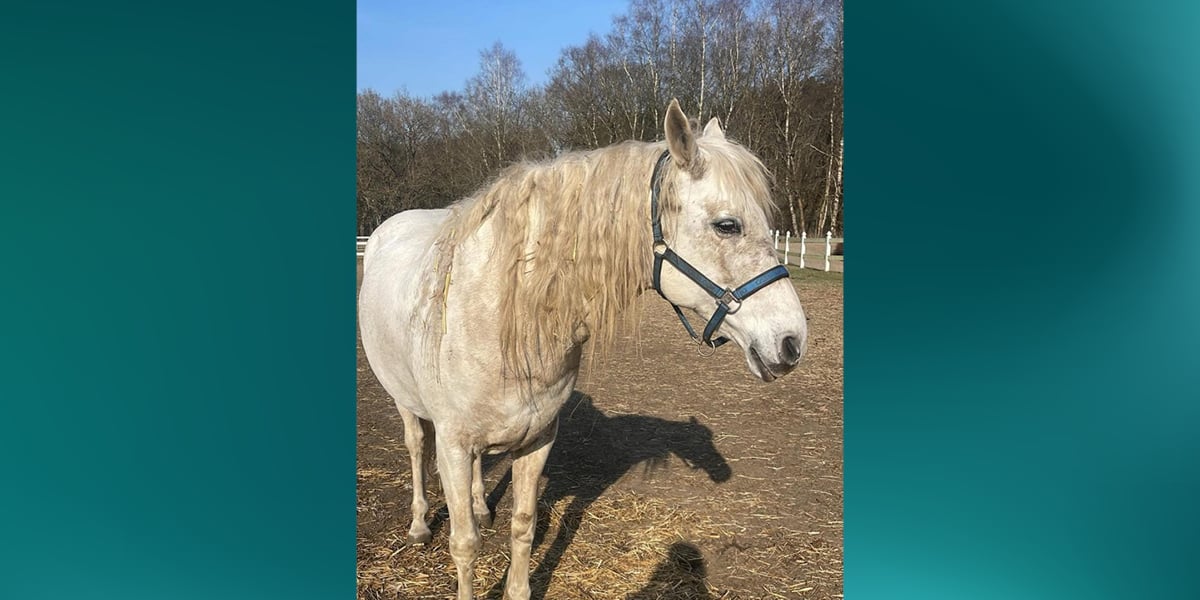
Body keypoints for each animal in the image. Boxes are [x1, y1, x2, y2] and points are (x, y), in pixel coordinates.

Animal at [357, 99, 808, 600]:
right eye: (727, 225)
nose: (792, 342)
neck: (505, 312)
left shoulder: (536, 439)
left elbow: (523, 526)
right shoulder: (453, 446)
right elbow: (465, 544)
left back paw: (480, 506)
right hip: (407, 404)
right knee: (416, 447)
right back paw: (419, 524)